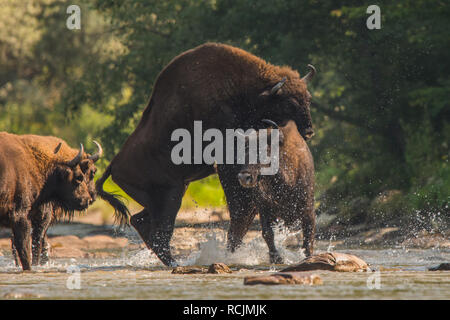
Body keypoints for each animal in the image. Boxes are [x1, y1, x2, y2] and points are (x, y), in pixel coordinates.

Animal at [230, 120, 314, 262]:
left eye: (264, 150)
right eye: (245, 150)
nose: (244, 177)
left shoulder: (308, 209)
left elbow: (308, 235)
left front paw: (308, 256)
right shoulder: (264, 209)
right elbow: (267, 233)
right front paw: (276, 258)